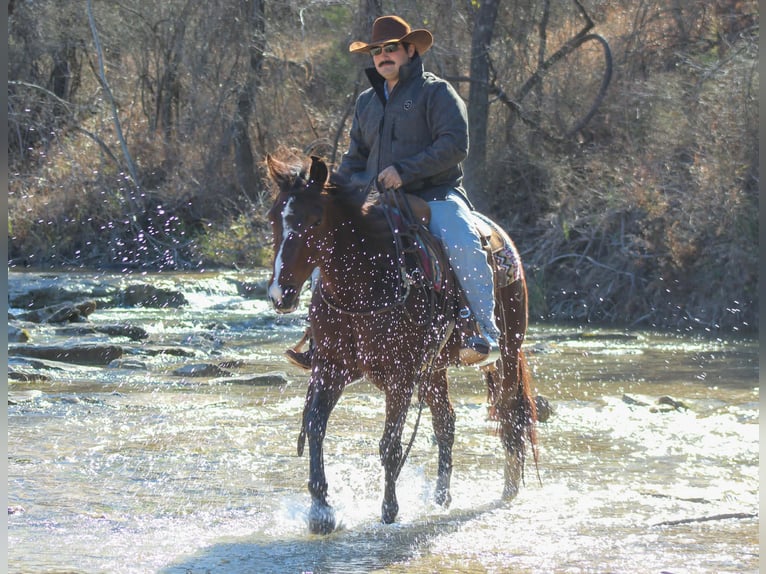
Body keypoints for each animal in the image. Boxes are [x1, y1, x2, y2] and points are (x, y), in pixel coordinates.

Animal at [265, 153, 536, 534]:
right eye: (274, 218)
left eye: (315, 220)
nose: (281, 294)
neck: (365, 284)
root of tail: (502, 239)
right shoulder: (330, 368)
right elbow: (315, 427)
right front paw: (320, 511)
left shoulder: (400, 377)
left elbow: (390, 445)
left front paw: (389, 511)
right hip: (435, 369)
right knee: (446, 422)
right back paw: (441, 496)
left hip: (508, 350)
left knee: (511, 414)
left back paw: (509, 486)